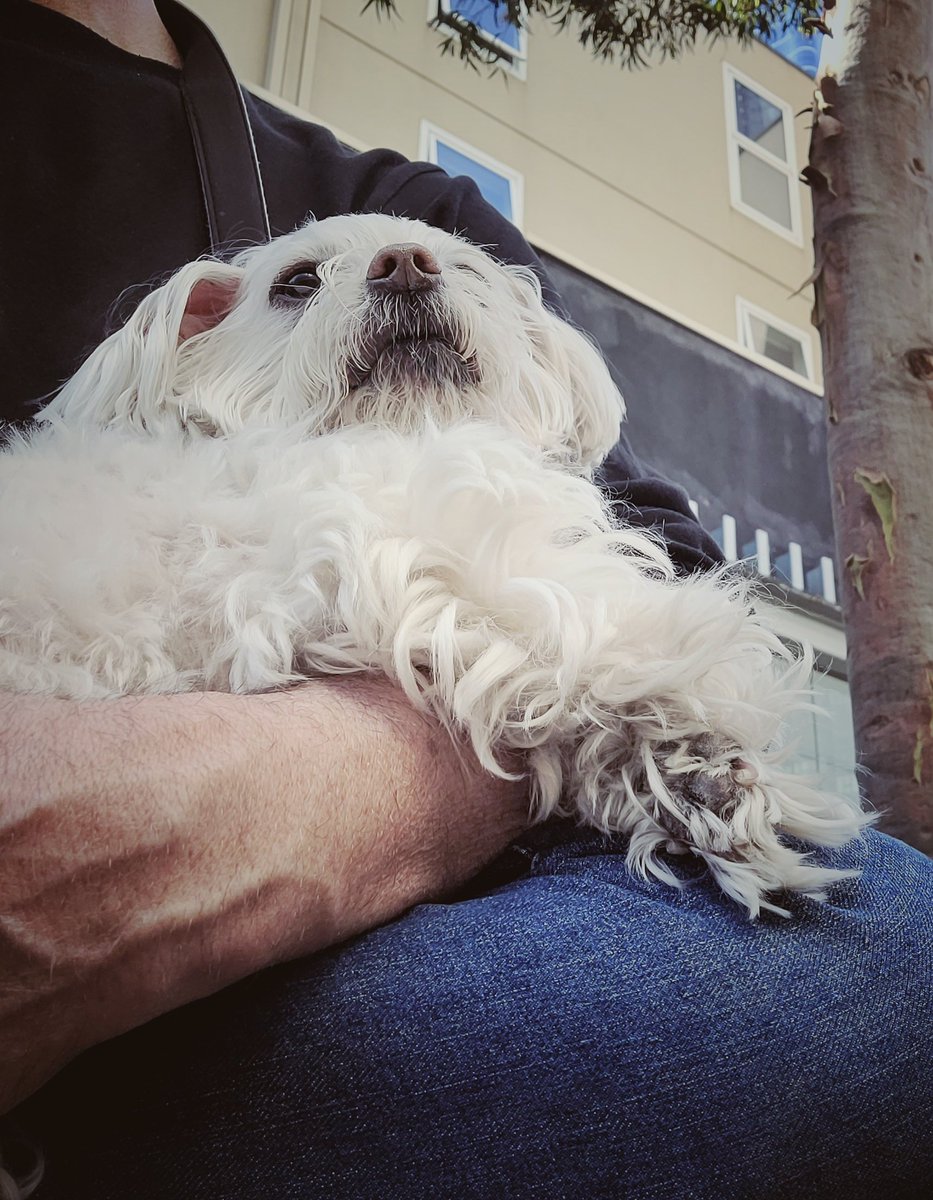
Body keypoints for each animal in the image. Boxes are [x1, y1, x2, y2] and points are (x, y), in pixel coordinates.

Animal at [0, 211, 863, 912]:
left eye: (467, 266)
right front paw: (700, 699)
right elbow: (569, 604)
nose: (405, 264)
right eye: (296, 282)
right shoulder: (368, 543)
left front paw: (686, 771)